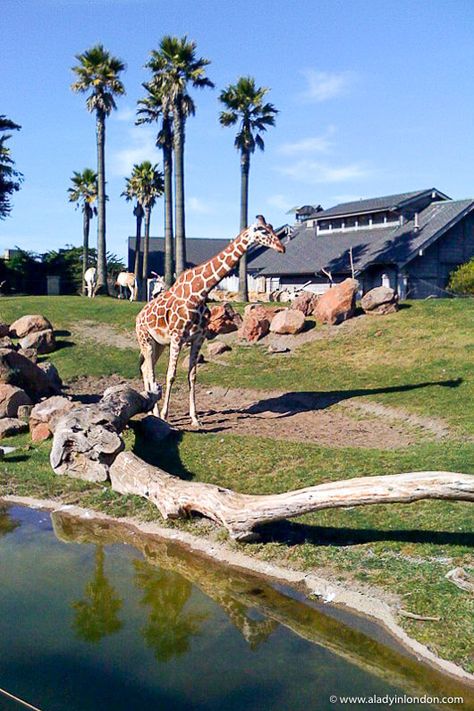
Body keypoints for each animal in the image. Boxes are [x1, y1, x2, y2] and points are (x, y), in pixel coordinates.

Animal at [137, 216, 286, 428]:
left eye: (272, 227)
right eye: (262, 230)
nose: (282, 247)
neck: (199, 292)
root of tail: (138, 317)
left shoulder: (197, 338)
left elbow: (192, 376)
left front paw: (195, 419)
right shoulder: (177, 338)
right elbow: (171, 374)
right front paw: (165, 416)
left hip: (159, 344)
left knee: (145, 368)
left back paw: (152, 410)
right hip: (146, 340)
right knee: (150, 371)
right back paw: (156, 413)